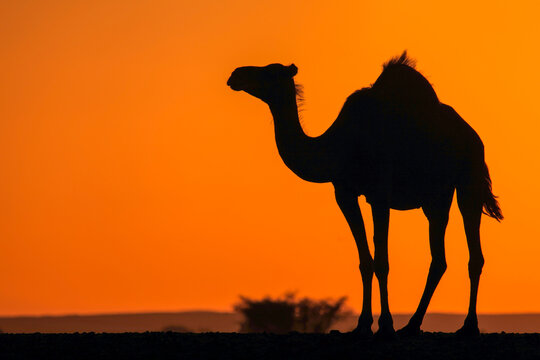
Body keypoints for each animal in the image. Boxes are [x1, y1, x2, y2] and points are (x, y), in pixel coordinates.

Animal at [227, 51, 502, 338]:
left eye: (270, 72)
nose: (236, 75)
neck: (340, 145)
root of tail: (474, 138)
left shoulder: (379, 195)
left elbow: (382, 261)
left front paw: (385, 324)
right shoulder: (344, 194)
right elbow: (365, 261)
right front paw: (362, 325)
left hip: (468, 182)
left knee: (472, 254)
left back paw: (467, 326)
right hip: (435, 197)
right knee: (439, 259)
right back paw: (412, 325)